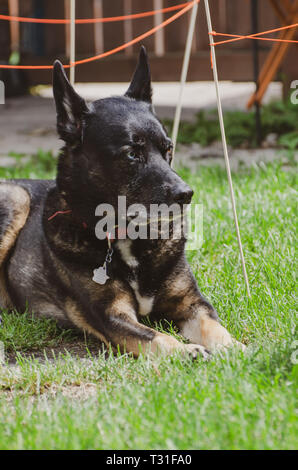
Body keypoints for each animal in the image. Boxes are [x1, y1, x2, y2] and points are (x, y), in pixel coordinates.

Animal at [0, 46, 244, 356]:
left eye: (168, 148)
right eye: (131, 153)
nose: (186, 194)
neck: (128, 236)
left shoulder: (191, 304)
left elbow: (213, 327)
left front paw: (237, 348)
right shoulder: (112, 316)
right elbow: (157, 338)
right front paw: (185, 351)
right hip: (16, 197)